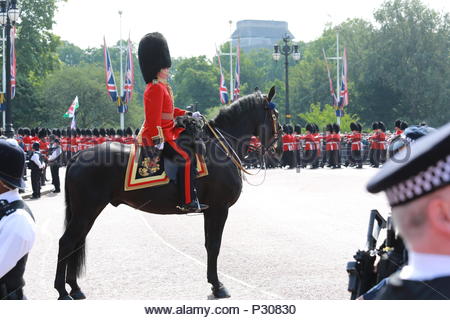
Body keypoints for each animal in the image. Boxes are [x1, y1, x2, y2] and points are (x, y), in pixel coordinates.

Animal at [54, 87, 282, 300]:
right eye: (276, 117)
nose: (278, 150)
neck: (222, 146)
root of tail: (78, 156)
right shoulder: (219, 208)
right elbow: (214, 246)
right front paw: (218, 286)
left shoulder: (211, 211)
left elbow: (209, 245)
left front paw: (213, 283)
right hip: (86, 211)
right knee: (67, 242)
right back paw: (62, 290)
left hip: (85, 212)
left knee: (76, 242)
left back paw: (74, 287)